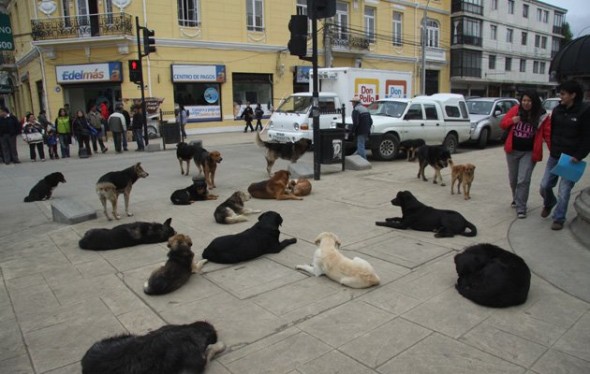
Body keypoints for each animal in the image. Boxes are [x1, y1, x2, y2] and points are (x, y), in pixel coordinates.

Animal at [81, 318, 224, 374]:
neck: (186, 332)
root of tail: (84, 362)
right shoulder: (193, 365)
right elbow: (208, 353)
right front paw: (218, 346)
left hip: (124, 336)